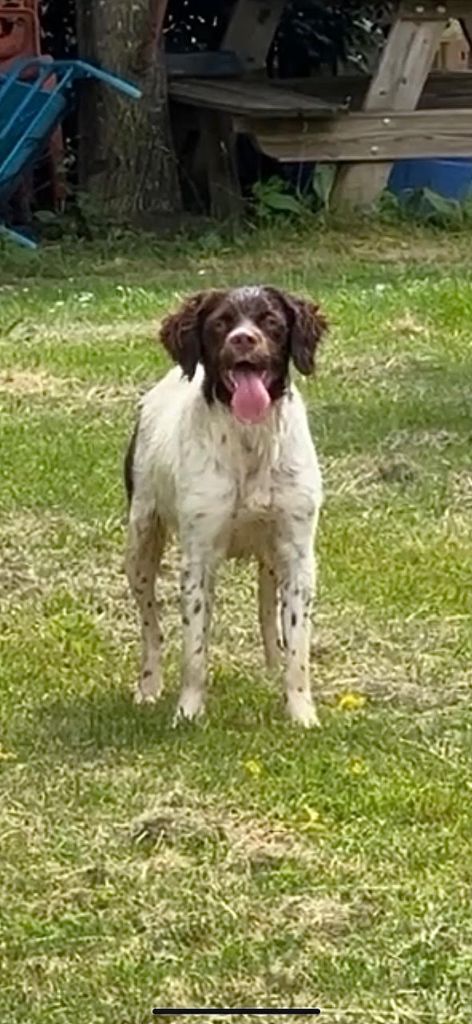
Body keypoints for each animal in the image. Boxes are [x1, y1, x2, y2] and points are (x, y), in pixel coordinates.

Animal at [123, 284, 325, 724]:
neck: (250, 443)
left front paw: (301, 712)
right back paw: (148, 686)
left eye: (270, 320)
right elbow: (194, 650)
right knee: (150, 625)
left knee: (268, 611)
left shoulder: (298, 553)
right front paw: (188, 711)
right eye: (220, 323)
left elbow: (297, 649)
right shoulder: (198, 558)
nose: (243, 339)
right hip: (140, 542)